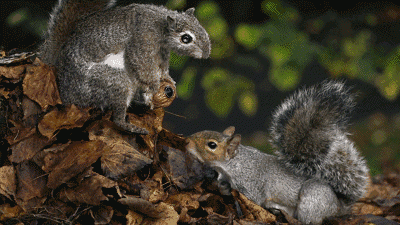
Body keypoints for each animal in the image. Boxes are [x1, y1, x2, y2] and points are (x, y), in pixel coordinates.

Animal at [39, 0, 211, 134]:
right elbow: (143, 65)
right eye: (186, 38)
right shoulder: (143, 39)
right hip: (112, 82)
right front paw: (154, 87)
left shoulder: (161, 52)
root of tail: (67, 95)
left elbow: (161, 66)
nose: (206, 53)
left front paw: (167, 78)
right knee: (117, 118)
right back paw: (132, 127)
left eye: (202, 28)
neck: (161, 24)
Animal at [186, 80, 370, 224]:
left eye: (212, 145)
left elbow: (254, 200)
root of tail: (339, 206)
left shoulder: (252, 185)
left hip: (312, 199)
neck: (235, 163)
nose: (187, 141)